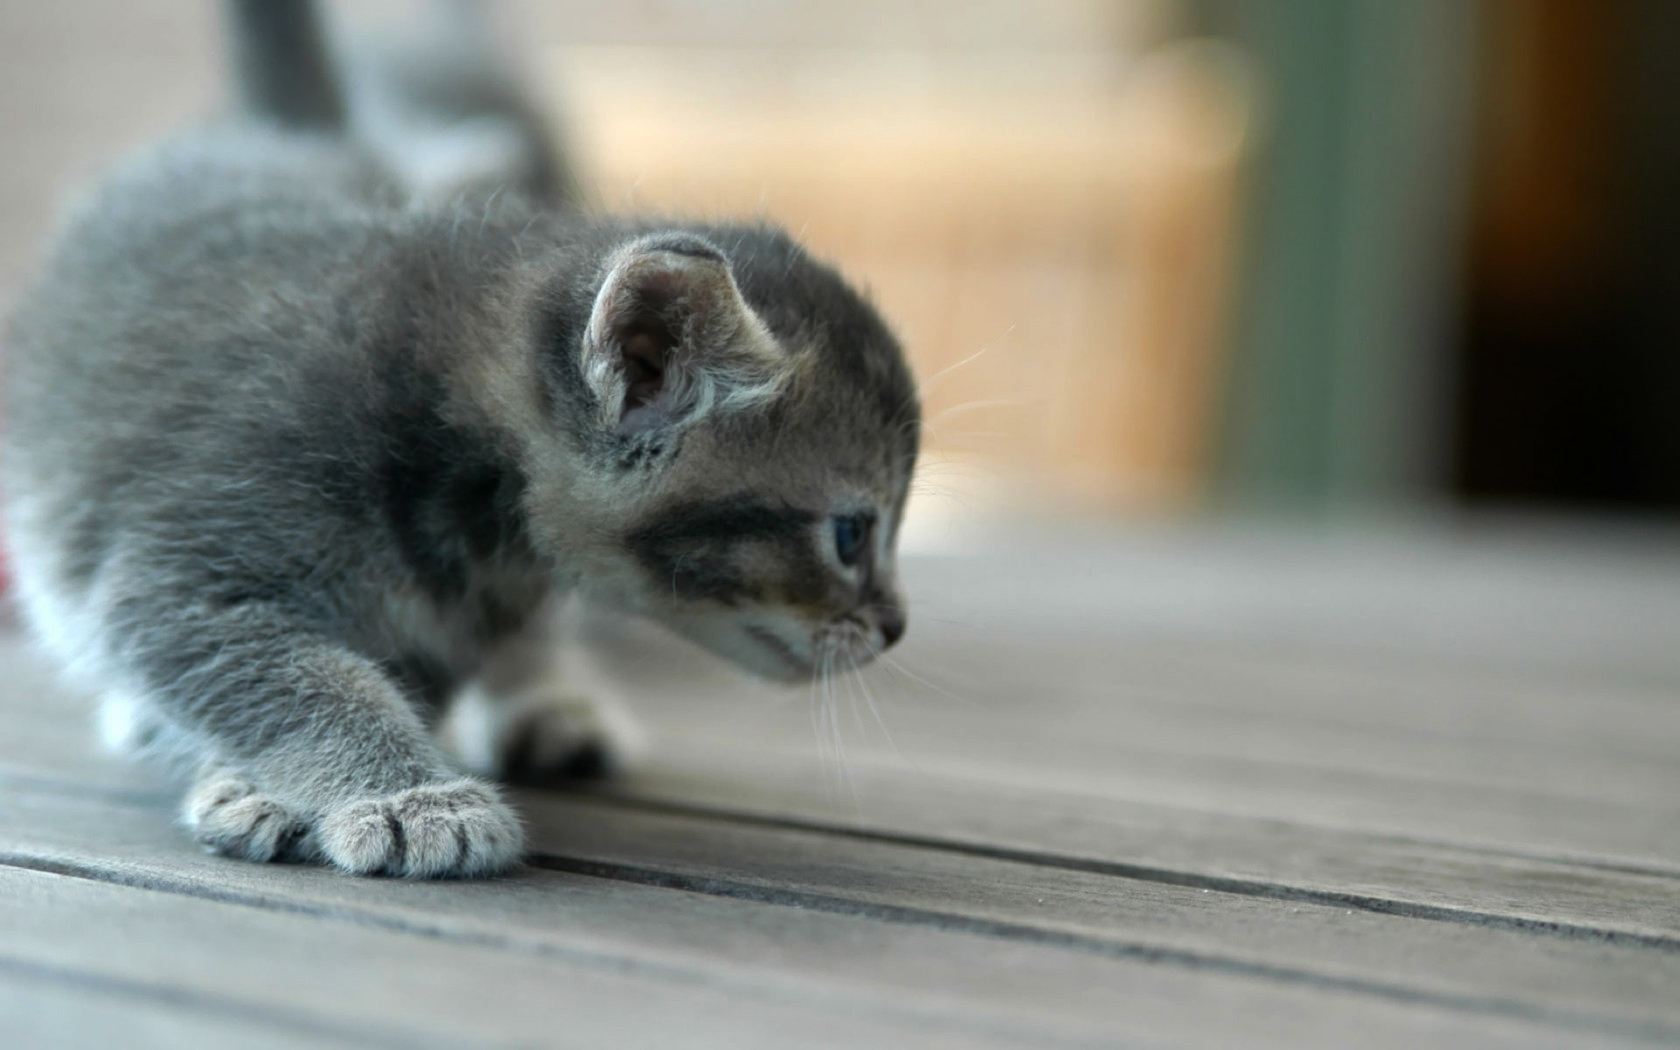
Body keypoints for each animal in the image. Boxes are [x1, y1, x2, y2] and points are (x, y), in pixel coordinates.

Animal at [0, 2, 920, 873]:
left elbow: (383, 677)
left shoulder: (450, 620)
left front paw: (300, 784)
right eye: (851, 534)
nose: (896, 628)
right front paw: (404, 797)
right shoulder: (181, 577)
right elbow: (303, 681)